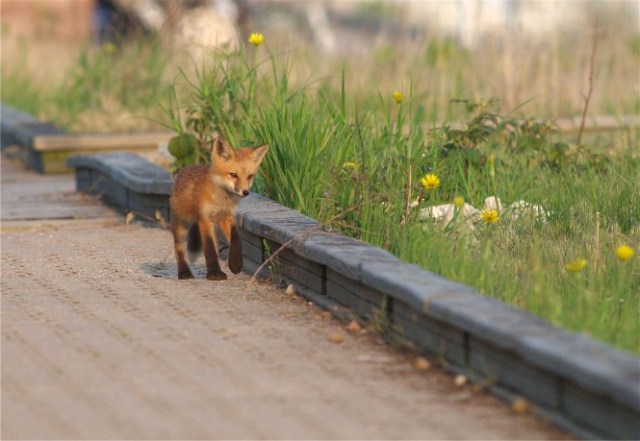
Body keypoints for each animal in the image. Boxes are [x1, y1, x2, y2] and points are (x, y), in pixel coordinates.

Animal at [169, 136, 269, 280]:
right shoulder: (205, 219)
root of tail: (186, 168)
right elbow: (209, 248)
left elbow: (237, 240)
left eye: (250, 176)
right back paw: (184, 272)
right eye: (233, 175)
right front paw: (215, 273)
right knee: (179, 249)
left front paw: (235, 264)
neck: (222, 201)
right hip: (182, 226)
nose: (245, 192)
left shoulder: (228, 216)